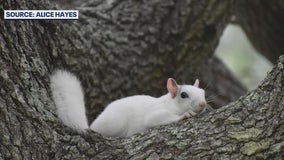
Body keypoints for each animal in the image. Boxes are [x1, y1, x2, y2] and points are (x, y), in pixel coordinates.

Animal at [50, 70, 206, 138]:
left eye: (203, 92)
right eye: (183, 95)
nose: (203, 104)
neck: (171, 104)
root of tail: (93, 127)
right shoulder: (155, 112)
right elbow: (155, 119)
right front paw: (185, 115)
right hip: (116, 122)